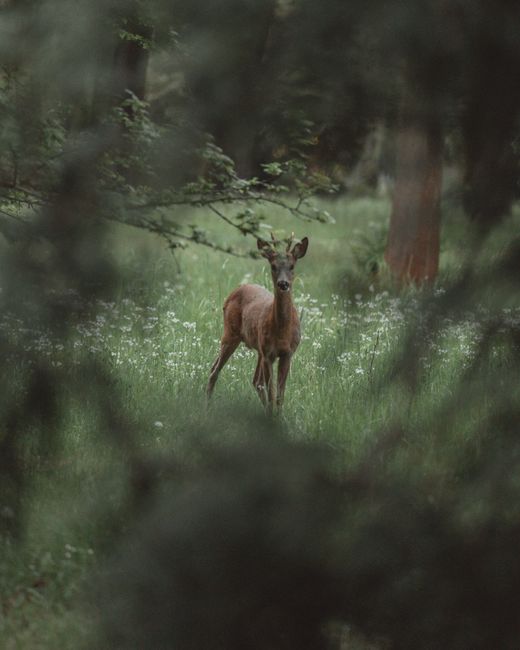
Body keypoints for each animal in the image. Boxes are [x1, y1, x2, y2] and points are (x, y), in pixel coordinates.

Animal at [207, 234, 309, 413]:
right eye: (273, 266)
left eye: (292, 266)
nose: (283, 284)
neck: (282, 331)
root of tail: (234, 291)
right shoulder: (269, 354)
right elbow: (272, 392)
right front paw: (272, 416)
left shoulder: (287, 353)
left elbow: (279, 395)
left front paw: (278, 417)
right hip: (230, 334)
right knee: (215, 371)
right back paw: (206, 408)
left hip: (257, 348)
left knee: (255, 381)